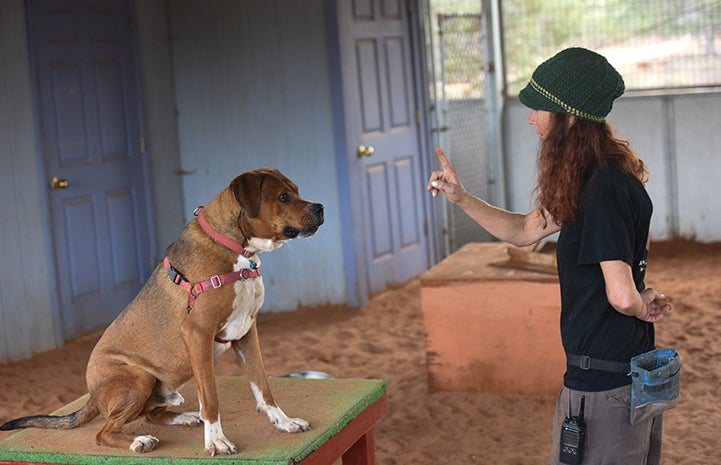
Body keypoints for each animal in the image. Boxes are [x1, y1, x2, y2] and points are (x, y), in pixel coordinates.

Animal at [0, 169, 324, 454]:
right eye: (283, 197)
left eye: (295, 191)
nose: (321, 207)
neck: (236, 251)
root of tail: (92, 394)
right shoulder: (197, 334)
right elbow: (211, 398)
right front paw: (217, 442)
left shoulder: (246, 333)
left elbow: (263, 387)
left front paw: (283, 422)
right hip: (138, 378)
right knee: (104, 432)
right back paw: (139, 442)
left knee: (151, 414)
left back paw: (182, 417)